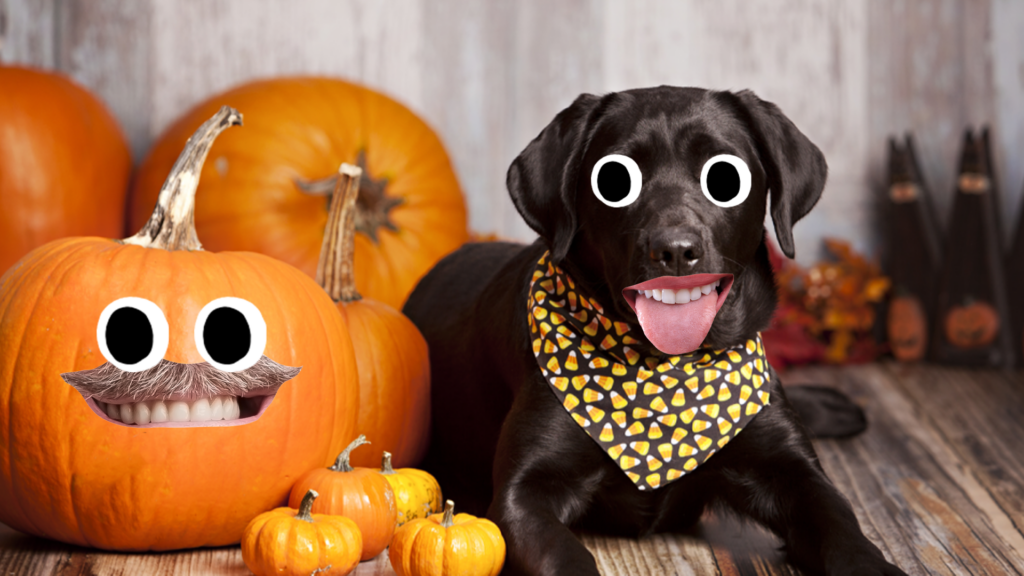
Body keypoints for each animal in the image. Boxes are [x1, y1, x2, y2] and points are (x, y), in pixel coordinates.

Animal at [399, 86, 905, 573]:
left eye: (725, 178)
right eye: (614, 181)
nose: (676, 250)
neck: (663, 370)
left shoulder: (792, 471)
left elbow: (842, 524)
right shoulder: (521, 493)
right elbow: (564, 554)